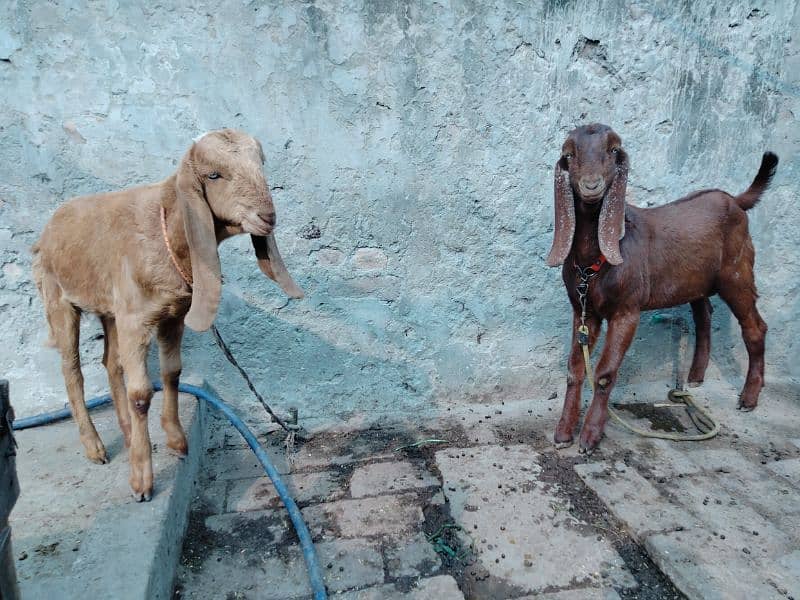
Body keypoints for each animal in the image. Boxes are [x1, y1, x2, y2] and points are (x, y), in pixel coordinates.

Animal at [31, 130, 304, 502]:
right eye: (213, 175)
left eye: (260, 164)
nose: (268, 217)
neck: (167, 234)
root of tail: (51, 224)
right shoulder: (136, 321)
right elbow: (141, 394)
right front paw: (141, 481)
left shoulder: (172, 315)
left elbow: (172, 373)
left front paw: (175, 441)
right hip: (59, 300)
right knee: (72, 370)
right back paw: (95, 447)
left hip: (110, 309)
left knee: (110, 363)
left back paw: (128, 434)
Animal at [548, 123, 780, 450]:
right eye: (569, 154)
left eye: (613, 151)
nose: (591, 186)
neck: (594, 260)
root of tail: (735, 200)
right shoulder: (584, 310)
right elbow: (575, 368)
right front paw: (563, 432)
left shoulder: (627, 310)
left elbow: (605, 372)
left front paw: (590, 436)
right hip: (696, 280)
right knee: (703, 314)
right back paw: (695, 377)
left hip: (737, 273)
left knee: (755, 327)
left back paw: (748, 398)